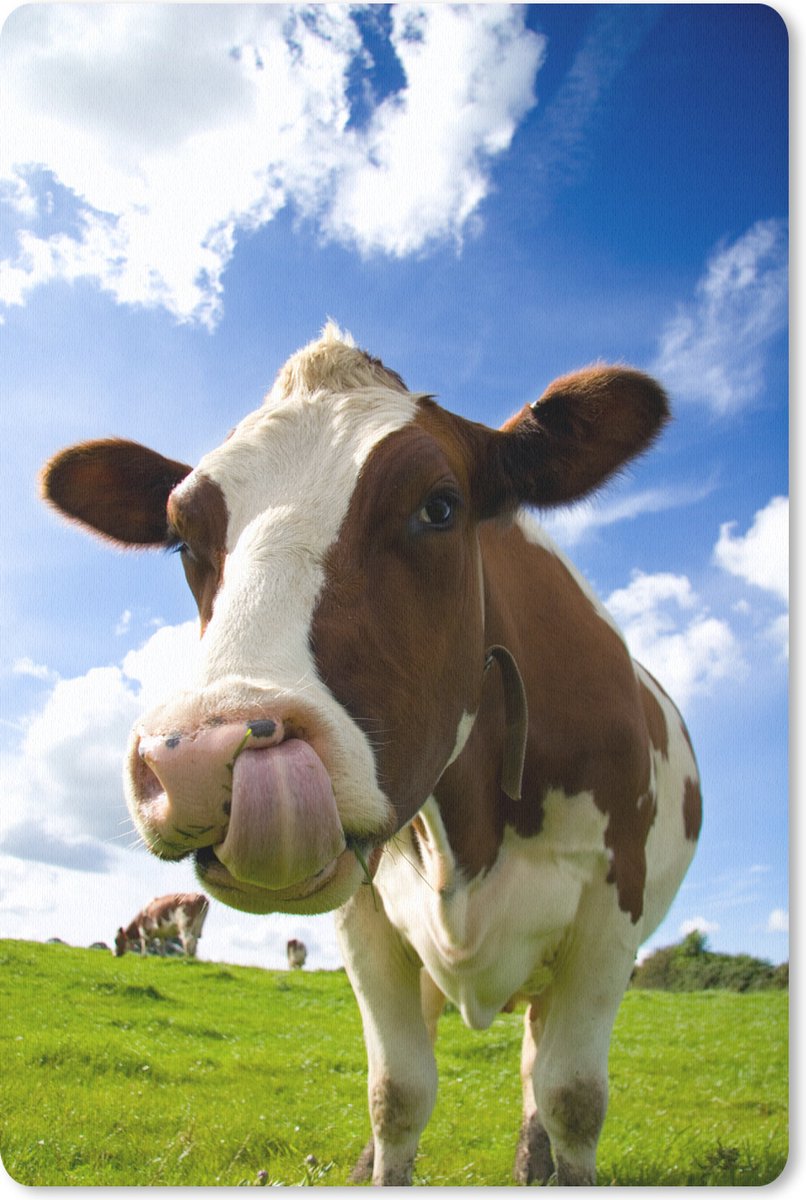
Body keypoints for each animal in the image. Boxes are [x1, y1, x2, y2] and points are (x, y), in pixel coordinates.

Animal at [42, 324, 700, 1185]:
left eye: (439, 506)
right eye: (183, 536)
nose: (198, 758)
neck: (473, 832)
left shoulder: (608, 916)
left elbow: (573, 1098)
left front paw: (556, 1161)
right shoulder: (368, 921)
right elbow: (398, 1092)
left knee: (536, 1067)